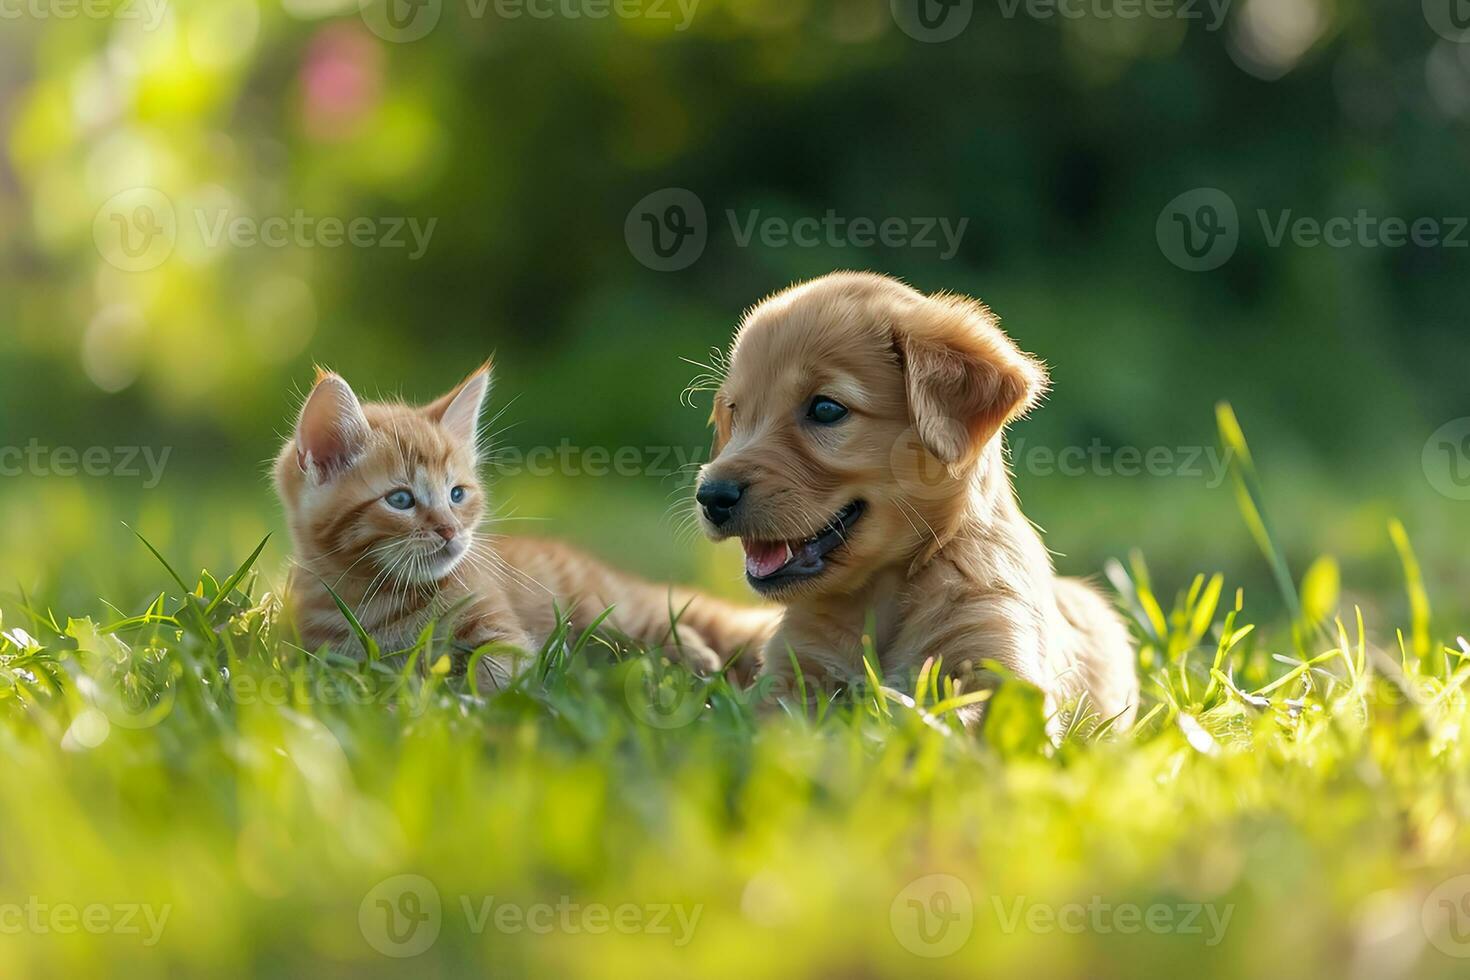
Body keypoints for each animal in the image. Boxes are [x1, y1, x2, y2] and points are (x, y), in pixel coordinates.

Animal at [276, 362, 782, 690]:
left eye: (457, 494)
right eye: (400, 500)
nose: (450, 531)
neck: (382, 596)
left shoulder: (497, 627)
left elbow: (498, 669)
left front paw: (472, 707)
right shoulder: (324, 655)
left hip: (608, 605)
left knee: (663, 621)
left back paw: (698, 657)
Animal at [693, 271, 1140, 731]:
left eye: (826, 408)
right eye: (734, 411)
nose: (711, 496)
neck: (881, 594)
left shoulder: (997, 661)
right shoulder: (792, 670)